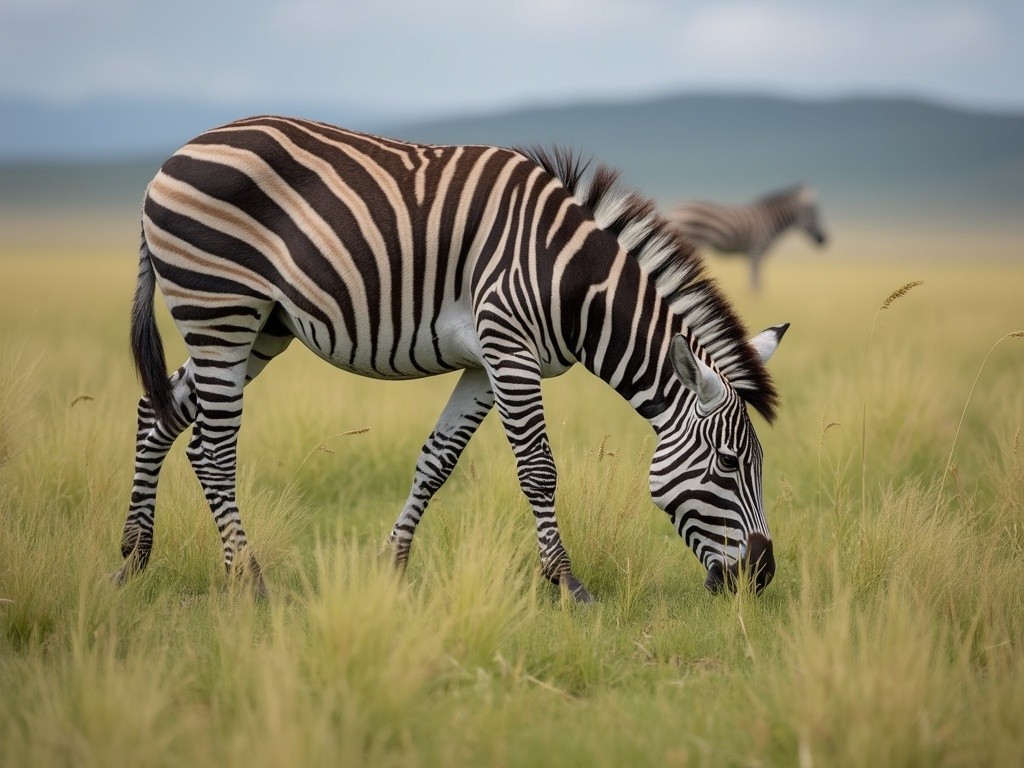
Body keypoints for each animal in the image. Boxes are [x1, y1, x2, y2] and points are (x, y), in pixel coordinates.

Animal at [117, 117, 790, 606]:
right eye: (729, 464)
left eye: (758, 464)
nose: (760, 578)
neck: (572, 281)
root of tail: (170, 160)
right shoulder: (508, 347)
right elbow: (538, 470)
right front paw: (566, 584)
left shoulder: (484, 364)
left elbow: (436, 462)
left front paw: (390, 568)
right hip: (219, 310)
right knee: (213, 450)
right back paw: (248, 579)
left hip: (257, 327)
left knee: (158, 414)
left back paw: (133, 558)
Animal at [667, 185, 827, 290]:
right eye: (814, 212)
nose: (824, 240)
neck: (771, 219)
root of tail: (677, 209)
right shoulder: (757, 250)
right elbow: (756, 281)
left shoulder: (752, 254)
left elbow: (753, 280)